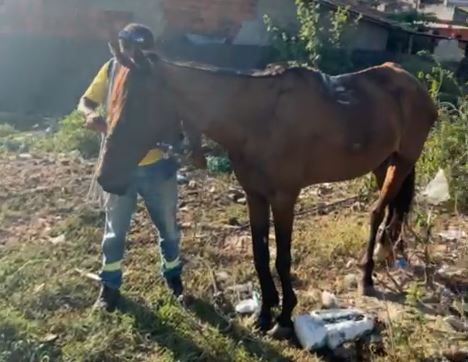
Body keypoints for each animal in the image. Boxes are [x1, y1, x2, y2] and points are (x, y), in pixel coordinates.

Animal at [97, 46, 436, 340]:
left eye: (136, 103)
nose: (106, 178)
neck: (257, 120)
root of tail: (411, 81)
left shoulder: (284, 197)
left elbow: (282, 258)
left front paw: (284, 318)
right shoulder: (254, 195)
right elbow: (260, 254)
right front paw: (264, 313)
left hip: (404, 160)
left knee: (377, 212)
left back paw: (367, 274)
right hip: (383, 163)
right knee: (392, 210)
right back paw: (387, 253)